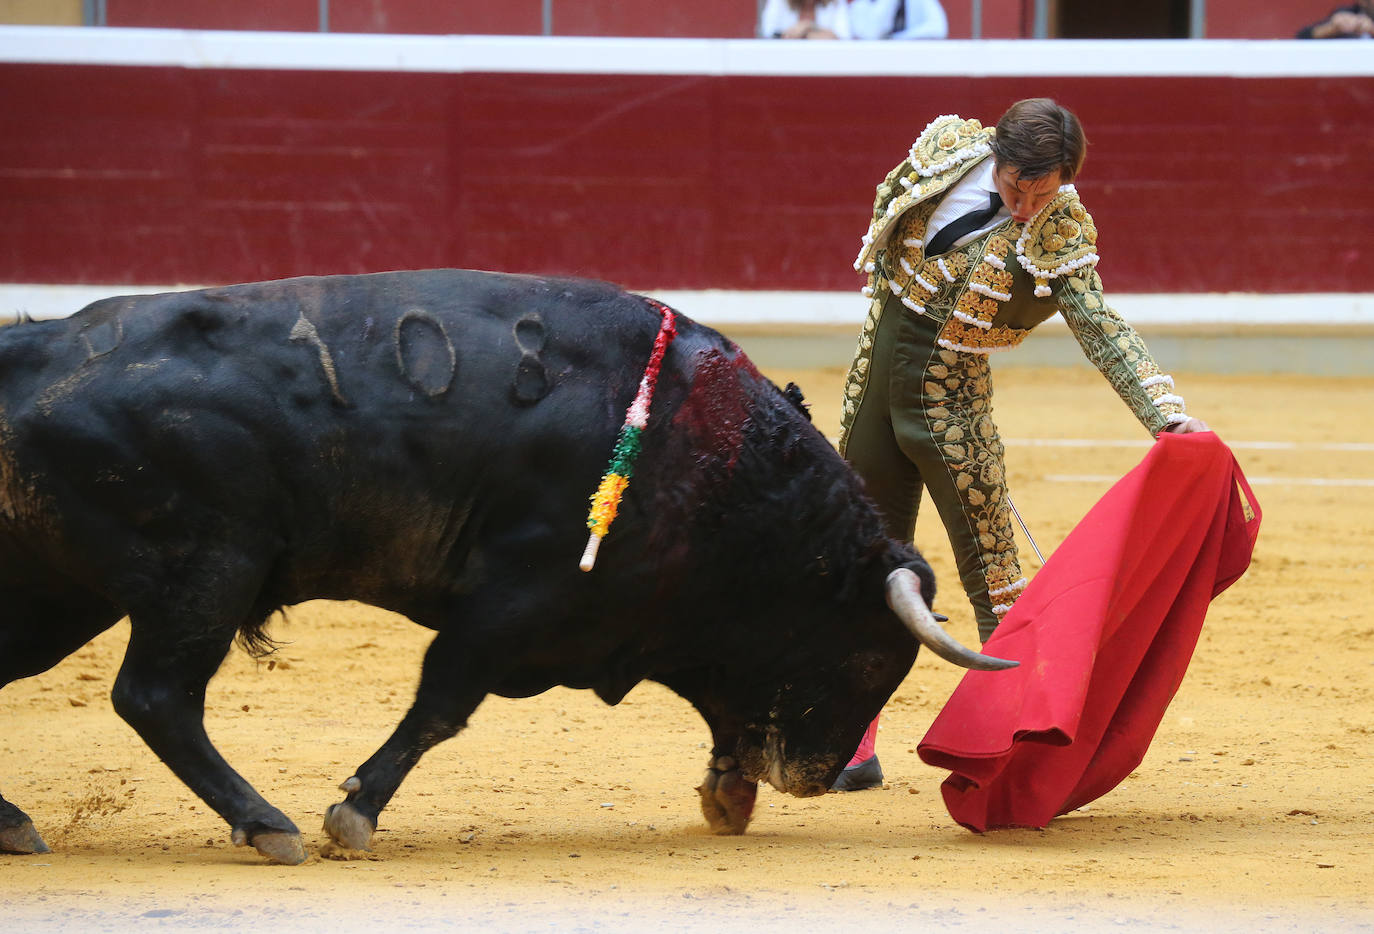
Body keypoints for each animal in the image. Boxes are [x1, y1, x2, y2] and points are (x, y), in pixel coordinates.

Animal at [0, 267, 1011, 862]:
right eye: (868, 656)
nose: (819, 775)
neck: (722, 463)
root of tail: (37, 345)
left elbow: (723, 707)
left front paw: (728, 795)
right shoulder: (514, 602)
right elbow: (442, 704)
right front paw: (353, 816)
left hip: (64, 592)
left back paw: (17, 825)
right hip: (207, 575)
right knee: (157, 697)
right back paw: (267, 825)